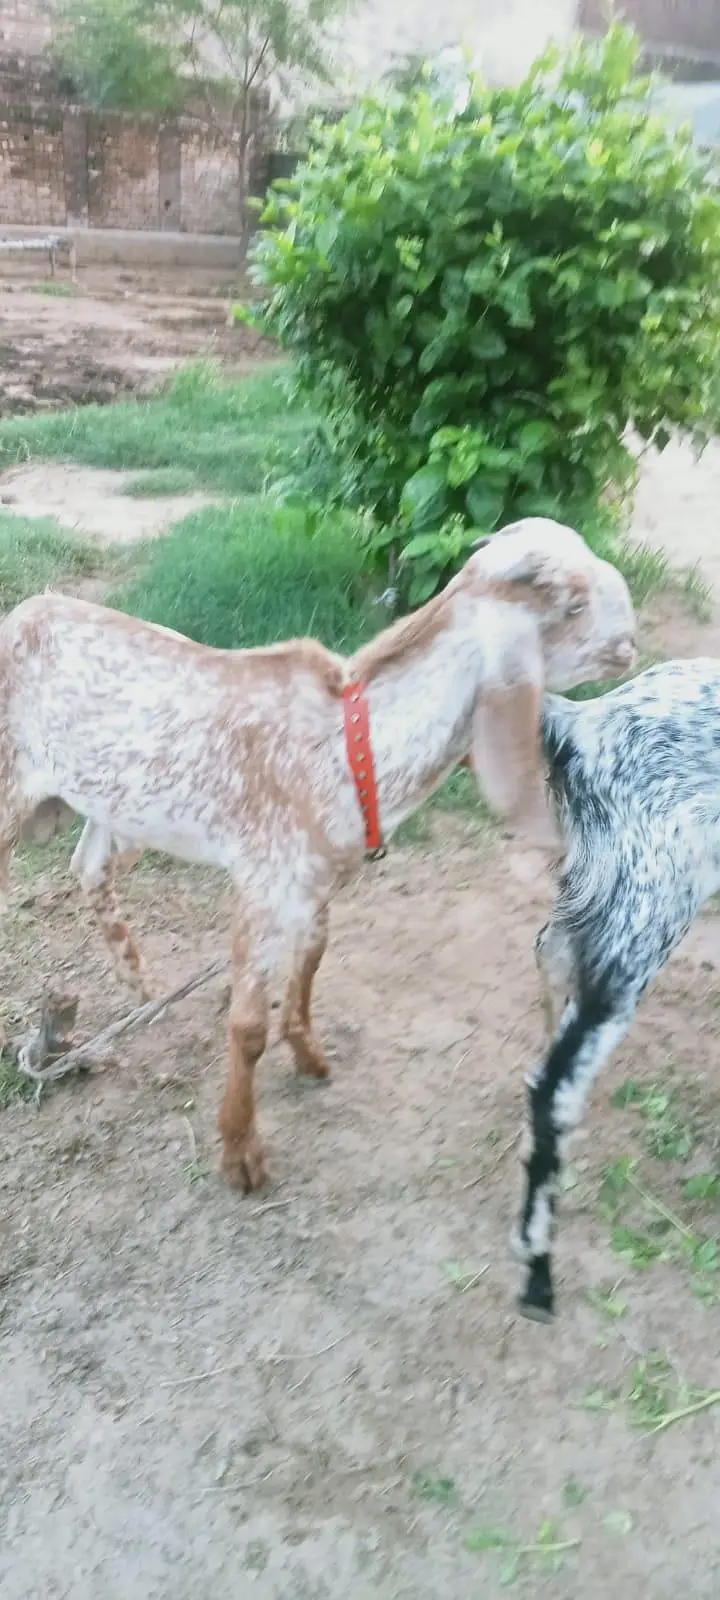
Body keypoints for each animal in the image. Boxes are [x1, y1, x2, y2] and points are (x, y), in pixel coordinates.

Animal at [0, 517, 635, 1193]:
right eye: (571, 603)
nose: (631, 641)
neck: (352, 745)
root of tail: (24, 612)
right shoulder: (262, 885)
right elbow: (247, 1026)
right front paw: (241, 1152)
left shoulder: (318, 883)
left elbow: (311, 963)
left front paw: (308, 1055)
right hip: (12, 793)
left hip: (120, 809)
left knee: (90, 868)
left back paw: (144, 990)